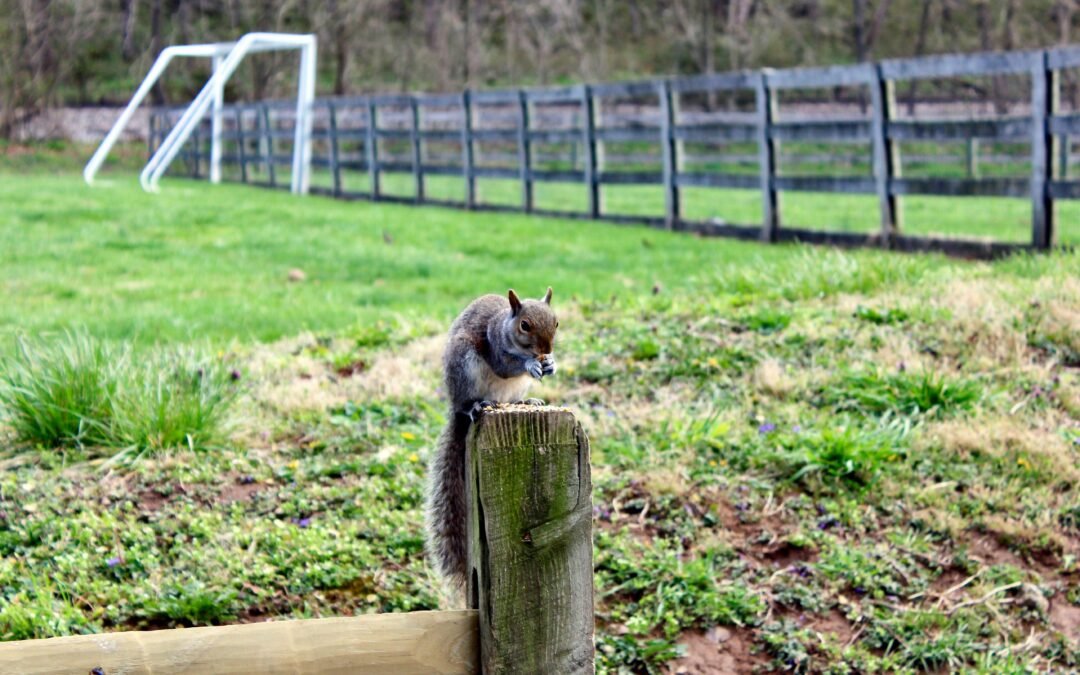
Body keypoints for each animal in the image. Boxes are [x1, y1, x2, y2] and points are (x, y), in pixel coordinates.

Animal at [425, 287, 559, 587]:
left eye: (556, 322)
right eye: (525, 325)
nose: (546, 351)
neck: (505, 328)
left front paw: (550, 365)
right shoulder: (496, 349)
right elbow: (505, 366)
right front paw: (531, 363)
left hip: (512, 389)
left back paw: (526, 402)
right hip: (465, 367)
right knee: (468, 403)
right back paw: (476, 406)